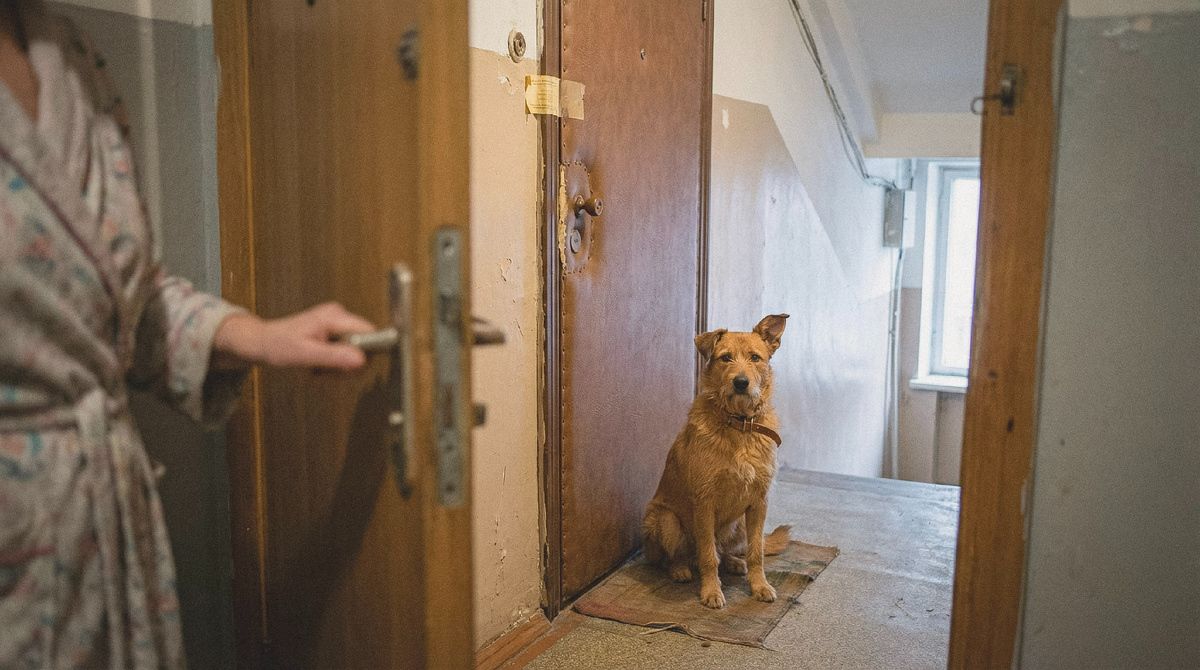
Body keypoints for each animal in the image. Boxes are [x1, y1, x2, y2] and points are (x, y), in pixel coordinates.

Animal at [642, 314, 791, 609]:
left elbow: (756, 552)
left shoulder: (759, 503)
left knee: (727, 551)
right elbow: (708, 555)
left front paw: (760, 585)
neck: (740, 425)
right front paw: (711, 591)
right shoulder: (705, 500)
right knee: (675, 557)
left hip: (740, 524)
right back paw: (680, 569)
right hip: (664, 519)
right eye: (725, 358)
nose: (741, 382)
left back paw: (734, 562)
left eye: (755, 357)